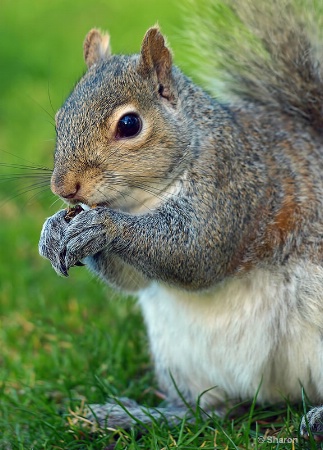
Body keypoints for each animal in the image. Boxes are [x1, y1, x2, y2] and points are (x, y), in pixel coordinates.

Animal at [39, 0, 323, 440]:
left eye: (129, 124)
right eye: (58, 121)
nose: (64, 188)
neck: (141, 202)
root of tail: (274, 395)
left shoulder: (235, 184)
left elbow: (196, 254)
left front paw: (104, 227)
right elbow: (135, 279)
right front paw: (53, 228)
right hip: (181, 360)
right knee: (208, 413)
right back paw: (134, 416)